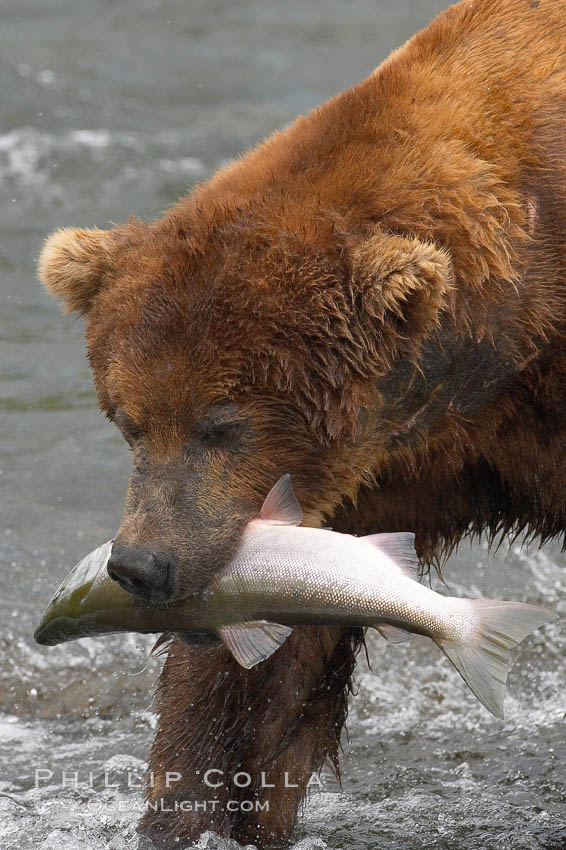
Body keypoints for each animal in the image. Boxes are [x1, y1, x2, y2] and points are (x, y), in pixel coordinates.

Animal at [38, 0, 566, 844]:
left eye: (222, 423)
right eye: (128, 420)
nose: (142, 564)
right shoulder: (379, 470)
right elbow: (256, 683)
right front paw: (194, 813)